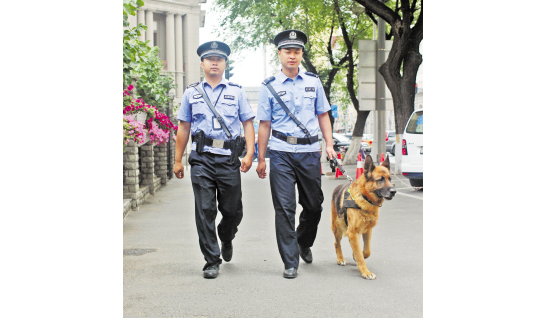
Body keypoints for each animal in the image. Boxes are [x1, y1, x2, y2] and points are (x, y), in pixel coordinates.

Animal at [175, 41, 256, 280]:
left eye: (218, 58)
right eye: (210, 57)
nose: (214, 62)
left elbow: (247, 121)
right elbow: (206, 210)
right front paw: (211, 263)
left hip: (231, 184)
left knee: (232, 211)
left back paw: (227, 248)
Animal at [258, 29, 338, 278]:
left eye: (295, 49)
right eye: (288, 50)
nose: (293, 56)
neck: (292, 76)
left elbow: (322, 114)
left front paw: (330, 149)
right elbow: (285, 208)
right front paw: (290, 263)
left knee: (313, 204)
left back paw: (305, 250)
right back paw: (295, 258)